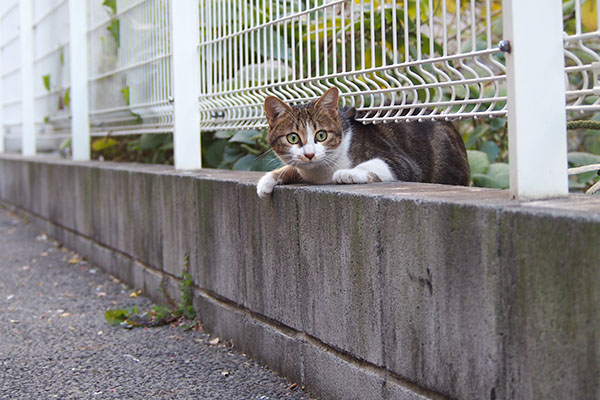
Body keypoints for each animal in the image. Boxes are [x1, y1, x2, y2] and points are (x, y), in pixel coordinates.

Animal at [255, 86, 466, 198]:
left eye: (321, 135)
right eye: (293, 138)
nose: (309, 154)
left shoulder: (404, 163)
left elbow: (380, 163)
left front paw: (349, 173)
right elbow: (291, 168)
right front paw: (267, 180)